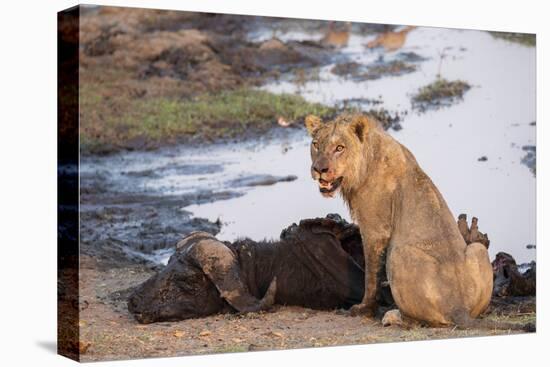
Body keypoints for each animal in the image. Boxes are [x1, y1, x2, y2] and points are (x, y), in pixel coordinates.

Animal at [306, 114, 496, 328]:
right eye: (315, 144)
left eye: (340, 147)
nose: (319, 169)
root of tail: (459, 308)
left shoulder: (375, 230)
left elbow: (371, 275)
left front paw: (364, 309)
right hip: (478, 250)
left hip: (398, 253)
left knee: (419, 320)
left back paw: (392, 316)